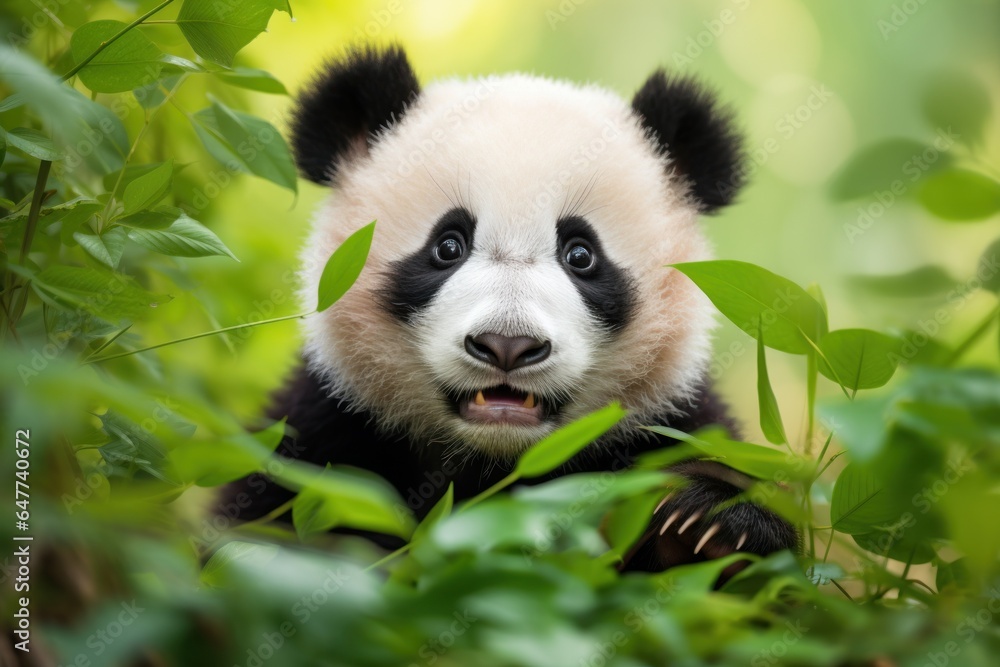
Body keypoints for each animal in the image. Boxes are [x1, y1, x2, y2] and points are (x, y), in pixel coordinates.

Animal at [226, 45, 796, 571]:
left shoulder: (672, 421)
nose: (507, 345)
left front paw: (709, 526)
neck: (495, 464)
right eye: (448, 246)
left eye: (581, 254)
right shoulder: (324, 435)